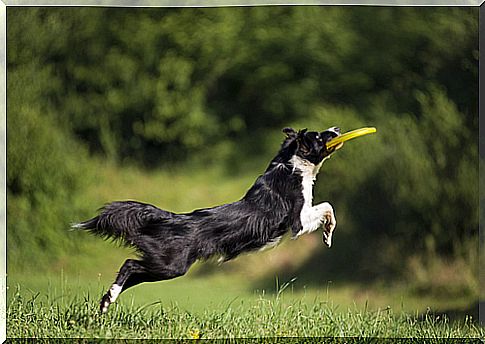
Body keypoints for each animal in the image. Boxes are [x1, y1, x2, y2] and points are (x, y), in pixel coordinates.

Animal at [74, 125, 340, 312]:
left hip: (164, 265)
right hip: (171, 265)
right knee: (130, 264)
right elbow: (327, 207)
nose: (337, 128)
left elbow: (327, 207)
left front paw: (327, 236)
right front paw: (328, 234)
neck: (290, 165)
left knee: (132, 272)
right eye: (319, 137)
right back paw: (109, 297)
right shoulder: (298, 221)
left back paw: (107, 301)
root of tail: (173, 218)